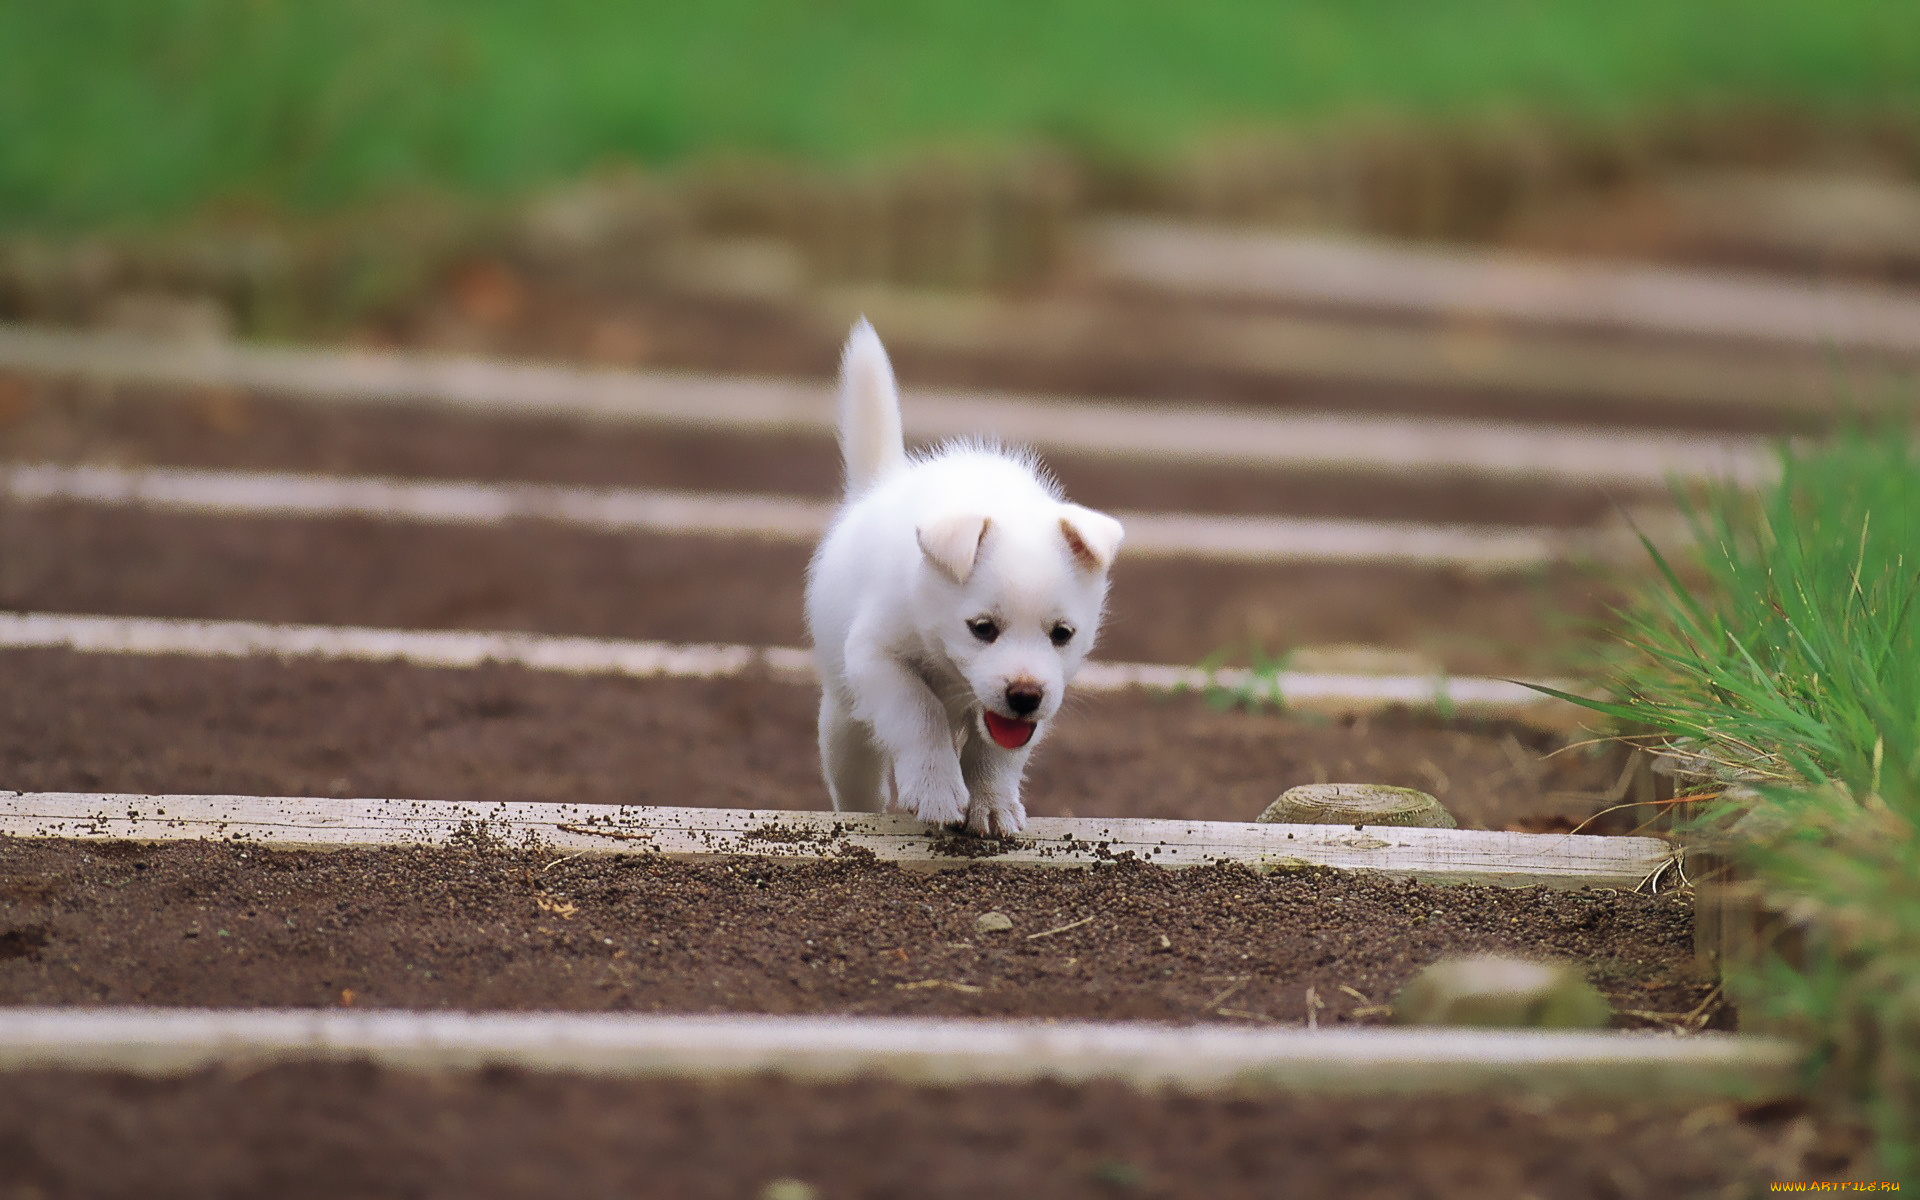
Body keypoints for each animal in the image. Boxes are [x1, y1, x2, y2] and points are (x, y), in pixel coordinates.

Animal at [798, 322, 1121, 837]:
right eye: (982, 629)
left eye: (1063, 634)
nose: (1025, 696)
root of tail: (876, 488)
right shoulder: (876, 657)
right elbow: (918, 712)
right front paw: (935, 788)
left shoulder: (1035, 706)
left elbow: (997, 751)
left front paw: (992, 803)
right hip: (844, 724)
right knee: (857, 779)